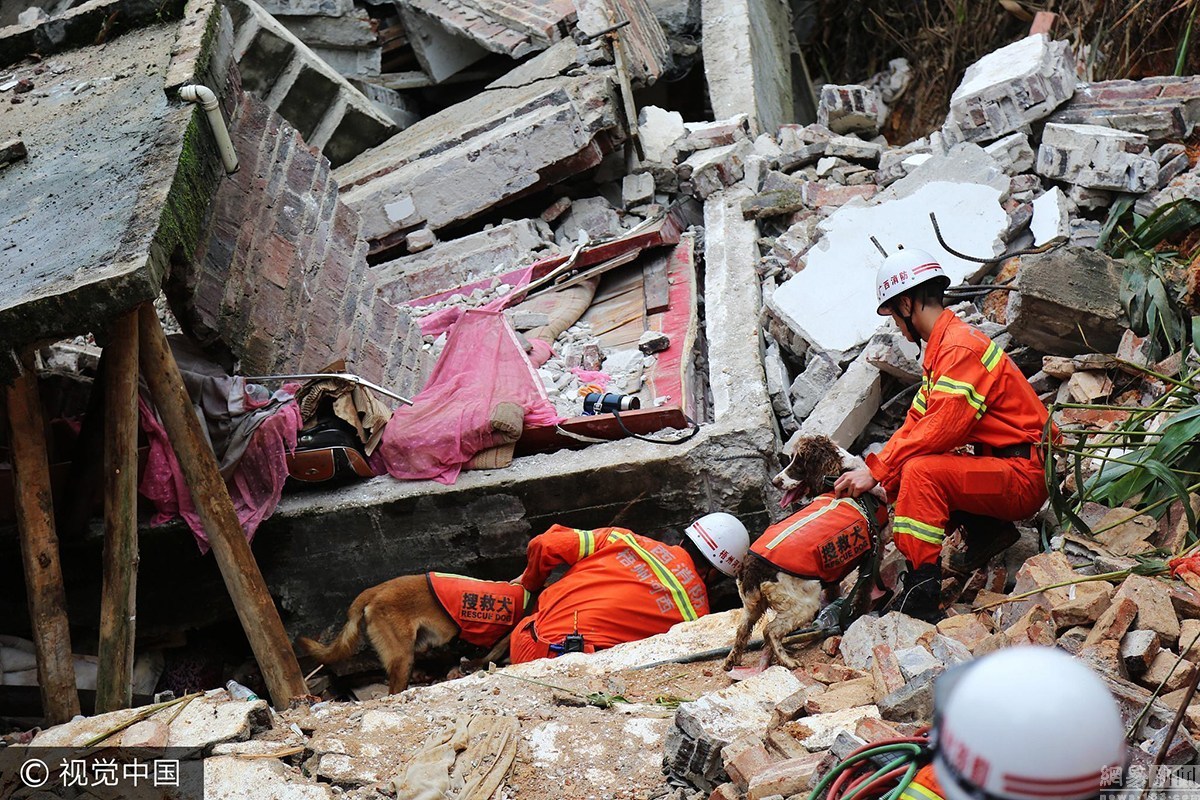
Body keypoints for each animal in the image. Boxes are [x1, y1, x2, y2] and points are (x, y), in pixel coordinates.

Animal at [720, 438, 883, 676]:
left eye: (799, 463)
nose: (775, 481)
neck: (838, 476)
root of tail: (750, 569)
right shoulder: (872, 557)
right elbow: (863, 595)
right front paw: (859, 616)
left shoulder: (831, 573)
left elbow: (834, 592)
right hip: (801, 602)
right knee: (770, 630)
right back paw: (787, 661)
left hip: (752, 604)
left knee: (743, 629)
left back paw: (731, 660)